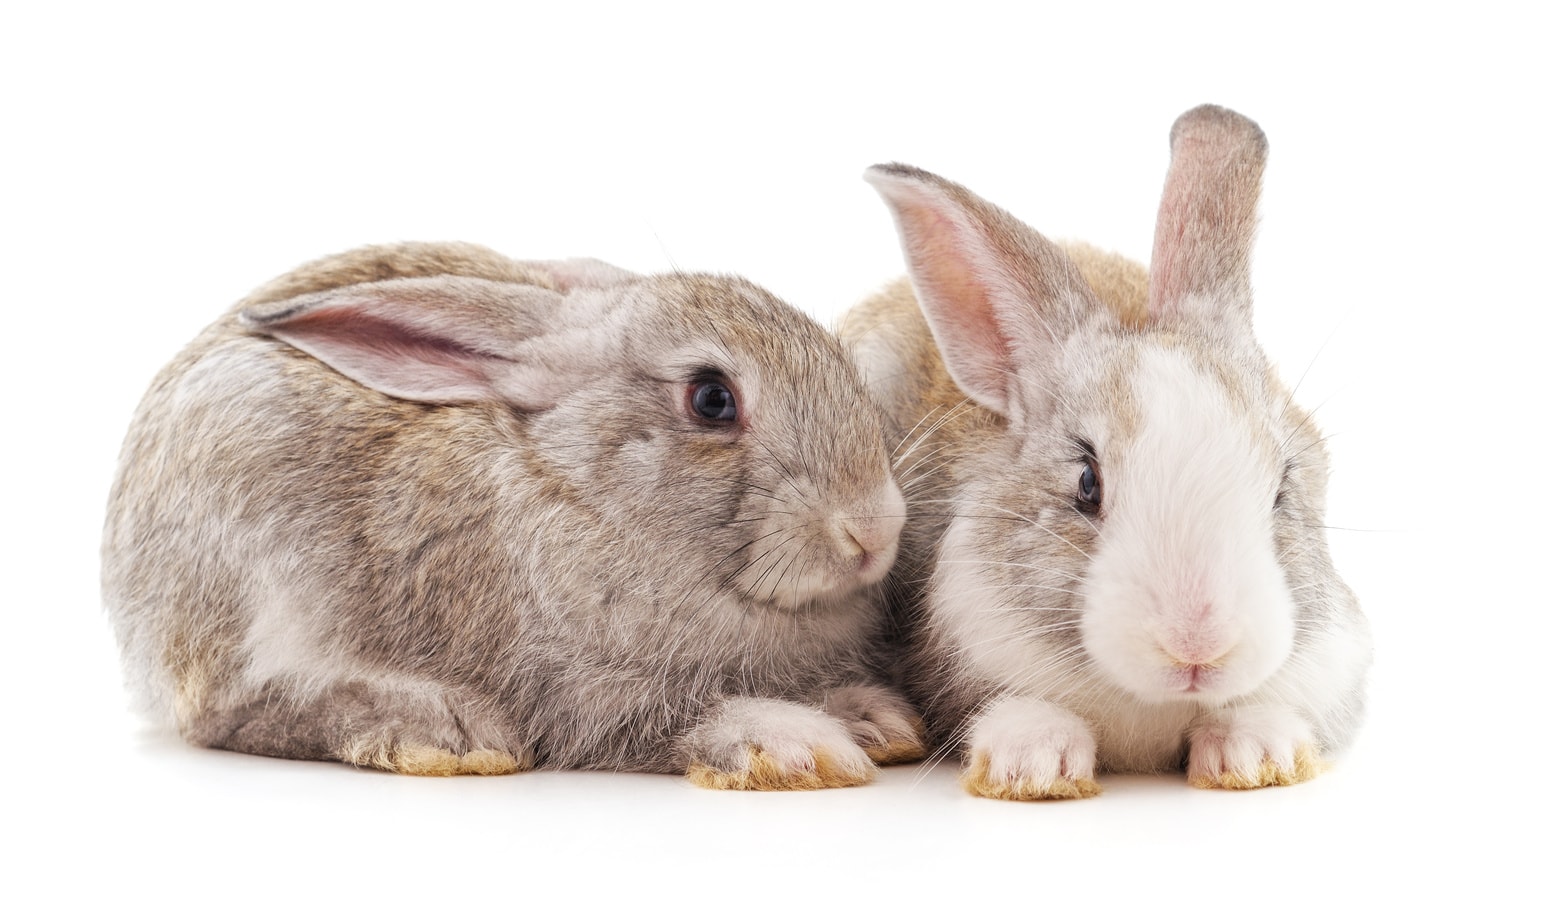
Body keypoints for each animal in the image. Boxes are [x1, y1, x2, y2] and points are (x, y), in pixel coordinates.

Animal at [102, 240, 925, 789]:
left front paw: (876, 721)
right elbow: (667, 716)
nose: (873, 530)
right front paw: (799, 745)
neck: (579, 487)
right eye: (712, 399)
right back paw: (444, 730)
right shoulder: (572, 692)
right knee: (231, 710)